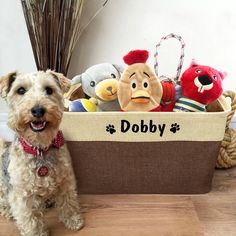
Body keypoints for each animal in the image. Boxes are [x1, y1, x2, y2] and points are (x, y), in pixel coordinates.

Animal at [0, 70, 83, 236]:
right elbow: (30, 219)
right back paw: (8, 211)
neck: (40, 149)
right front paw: (36, 233)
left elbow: (68, 202)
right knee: (3, 201)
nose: (38, 110)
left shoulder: (66, 180)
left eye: (49, 90)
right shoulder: (22, 195)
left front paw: (73, 221)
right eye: (20, 90)